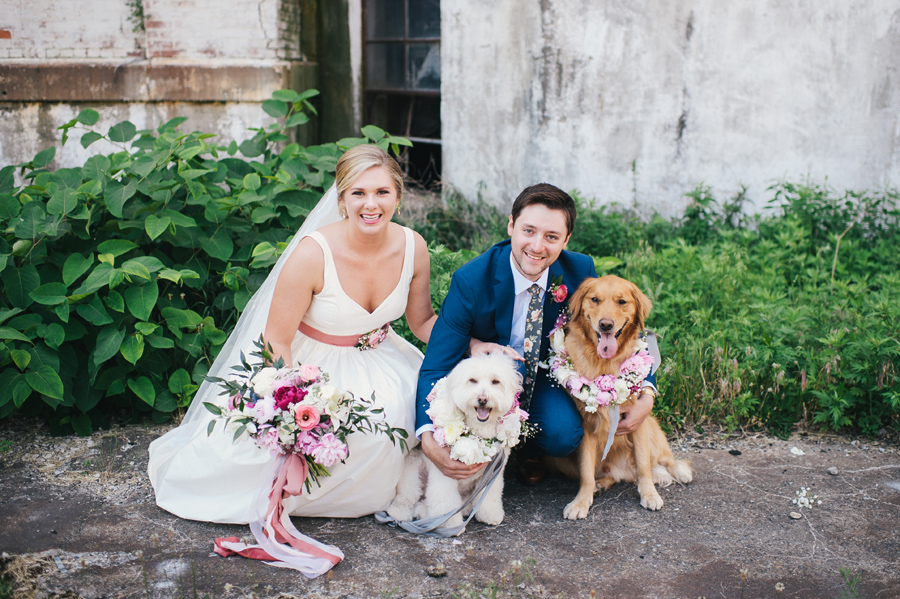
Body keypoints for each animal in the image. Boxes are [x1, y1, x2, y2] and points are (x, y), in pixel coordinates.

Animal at [384, 352, 524, 536]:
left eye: (496, 381)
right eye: (472, 380)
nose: (482, 399)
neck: (479, 431)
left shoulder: (495, 469)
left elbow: (490, 494)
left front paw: (489, 513)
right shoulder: (444, 469)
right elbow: (446, 500)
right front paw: (450, 525)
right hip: (411, 470)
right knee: (408, 497)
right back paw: (402, 512)